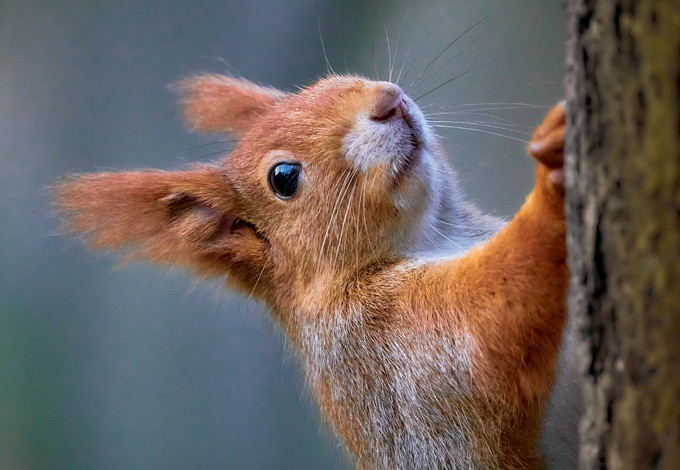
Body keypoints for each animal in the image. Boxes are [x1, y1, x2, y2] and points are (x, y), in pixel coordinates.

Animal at [55, 74, 569, 469]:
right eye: (284, 177)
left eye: (329, 80)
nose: (389, 100)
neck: (437, 235)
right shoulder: (393, 349)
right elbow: (488, 322)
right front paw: (550, 185)